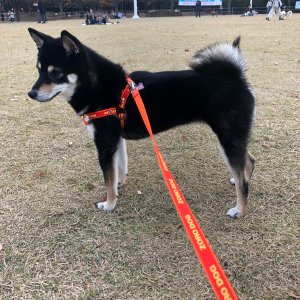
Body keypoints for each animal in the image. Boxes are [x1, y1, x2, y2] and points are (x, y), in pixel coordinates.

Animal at [27, 28, 255, 218]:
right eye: (39, 70)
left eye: (56, 72)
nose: (31, 93)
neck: (97, 86)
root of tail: (235, 76)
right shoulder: (116, 140)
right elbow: (118, 168)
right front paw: (118, 187)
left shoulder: (104, 142)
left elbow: (108, 177)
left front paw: (109, 204)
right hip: (232, 137)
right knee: (249, 161)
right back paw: (237, 180)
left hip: (228, 137)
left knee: (243, 181)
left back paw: (240, 209)